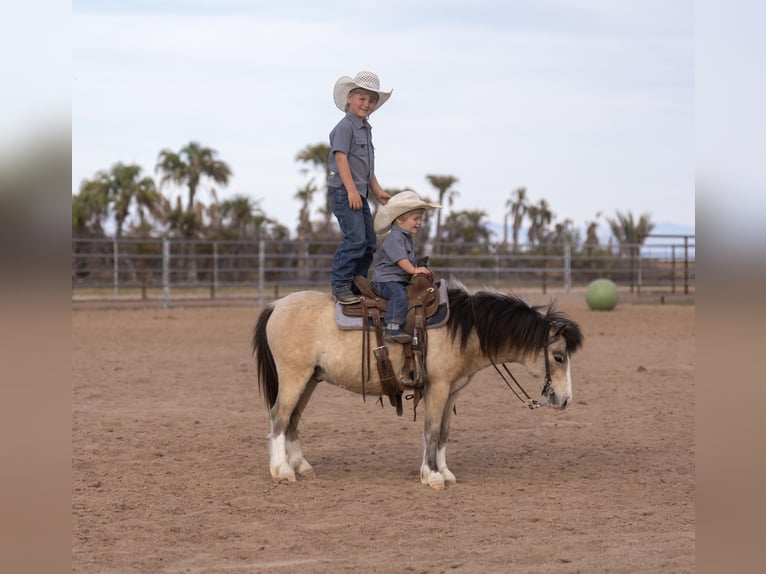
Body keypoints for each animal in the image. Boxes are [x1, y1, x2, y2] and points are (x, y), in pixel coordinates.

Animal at [251, 280, 583, 490]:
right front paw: (432, 476)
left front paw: (445, 472)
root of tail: (276, 305)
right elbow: (431, 431)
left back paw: (301, 466)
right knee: (278, 418)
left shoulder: (452, 391)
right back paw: (282, 471)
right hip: (294, 377)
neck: (462, 329)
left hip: (310, 380)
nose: (565, 400)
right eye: (558, 356)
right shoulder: (437, 388)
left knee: (293, 420)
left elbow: (444, 433)